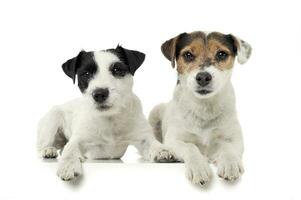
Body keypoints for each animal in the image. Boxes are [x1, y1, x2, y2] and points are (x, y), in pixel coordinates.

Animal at [37, 45, 173, 181]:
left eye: (117, 69)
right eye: (86, 73)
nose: (99, 94)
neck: (110, 119)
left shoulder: (143, 137)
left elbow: (153, 143)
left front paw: (162, 150)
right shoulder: (78, 140)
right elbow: (70, 150)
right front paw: (68, 166)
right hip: (53, 118)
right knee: (45, 144)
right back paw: (48, 150)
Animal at [149, 31, 251, 186]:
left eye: (221, 54)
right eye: (188, 54)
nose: (203, 77)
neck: (204, 106)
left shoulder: (234, 139)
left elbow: (228, 149)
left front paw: (230, 165)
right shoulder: (175, 139)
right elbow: (191, 147)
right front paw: (199, 168)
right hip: (154, 113)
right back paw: (162, 153)